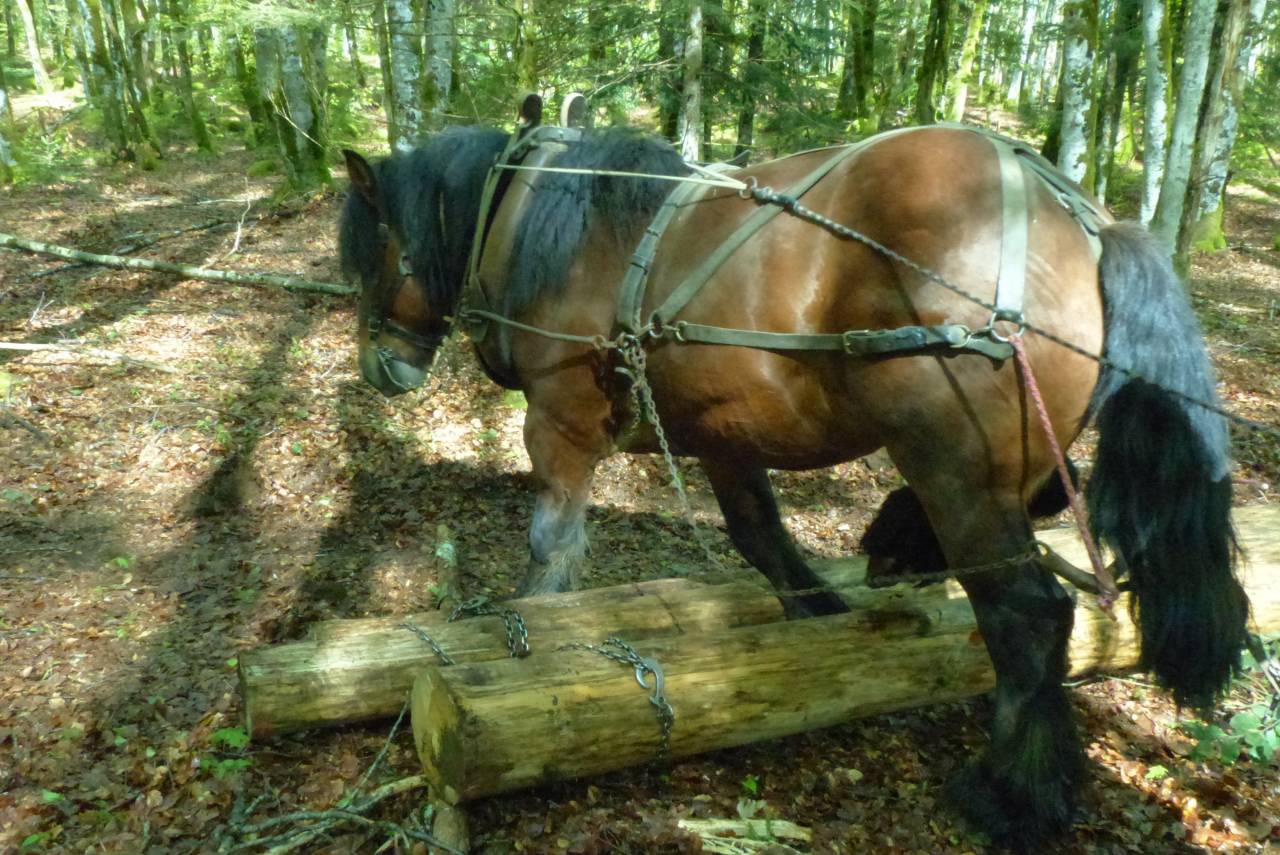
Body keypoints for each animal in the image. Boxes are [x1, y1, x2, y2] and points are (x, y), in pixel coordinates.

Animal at [337, 117, 1248, 845]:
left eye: (367, 256)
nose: (379, 367)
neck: (541, 220)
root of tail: (1079, 218)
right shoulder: (724, 435)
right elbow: (761, 537)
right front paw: (819, 619)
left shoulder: (559, 423)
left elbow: (551, 550)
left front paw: (537, 645)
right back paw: (900, 548)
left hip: (957, 467)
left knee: (1028, 615)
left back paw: (1013, 793)